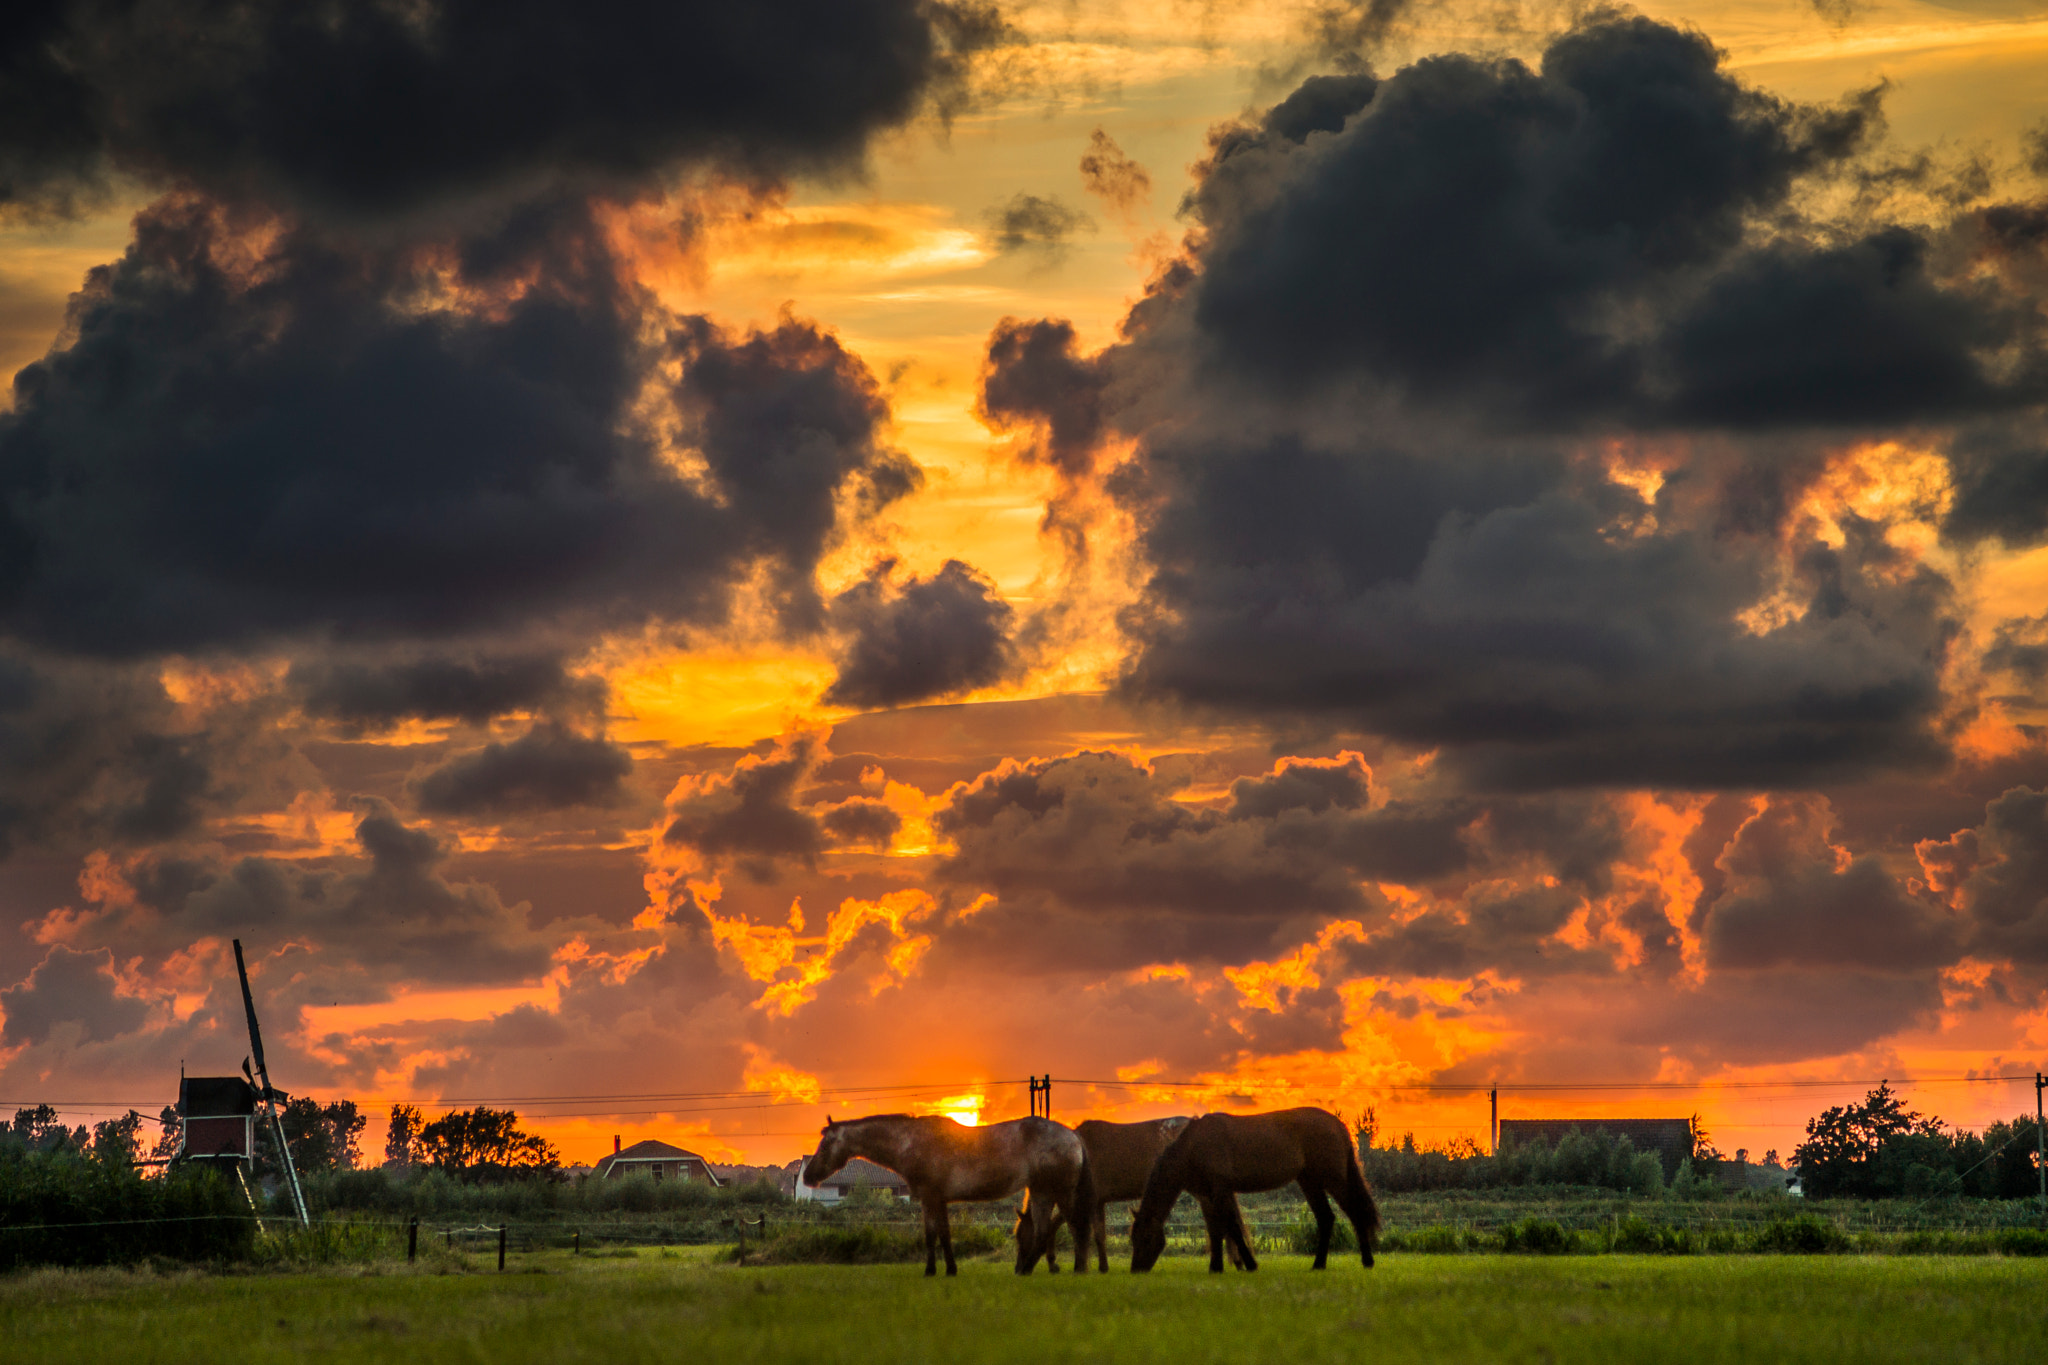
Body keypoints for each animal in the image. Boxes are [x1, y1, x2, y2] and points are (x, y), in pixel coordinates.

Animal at [798, 1113, 1097, 1277]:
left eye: (825, 1144)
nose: (808, 1176)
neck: (911, 1142)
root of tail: (1073, 1136)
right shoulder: (935, 1200)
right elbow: (939, 1234)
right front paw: (947, 1269)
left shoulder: (931, 1197)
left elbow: (935, 1235)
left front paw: (932, 1270)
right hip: (1041, 1192)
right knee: (1046, 1230)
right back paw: (1029, 1269)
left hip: (1058, 1192)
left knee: (1073, 1227)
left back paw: (1070, 1267)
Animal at [1130, 1105, 1384, 1277]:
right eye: (1133, 1238)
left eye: (1146, 1238)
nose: (1136, 1270)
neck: (1194, 1147)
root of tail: (1338, 1125)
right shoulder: (1208, 1196)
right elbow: (1216, 1230)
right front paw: (1216, 1267)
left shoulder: (1220, 1191)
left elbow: (1231, 1227)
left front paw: (1249, 1265)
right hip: (1309, 1182)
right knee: (1326, 1218)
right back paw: (1318, 1264)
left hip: (1334, 1180)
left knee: (1354, 1213)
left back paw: (1367, 1261)